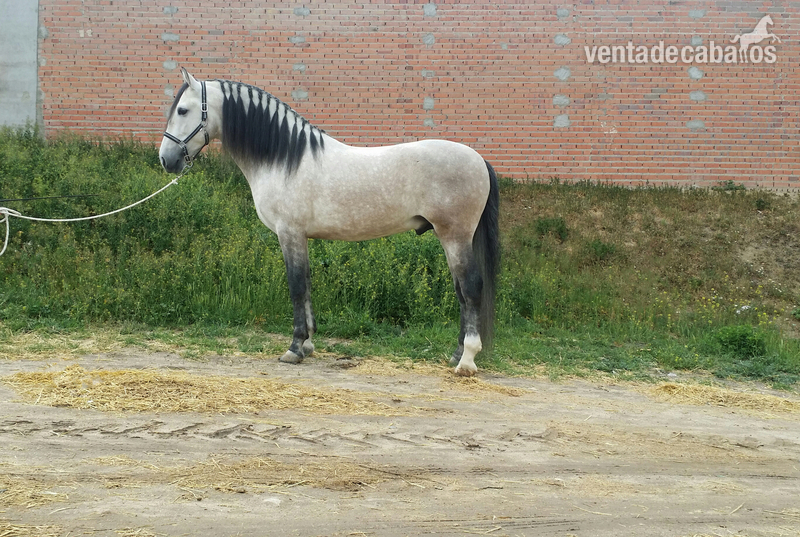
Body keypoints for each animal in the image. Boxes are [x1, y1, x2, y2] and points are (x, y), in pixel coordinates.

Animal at [159, 68, 500, 376]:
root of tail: (479, 159)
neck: (284, 159)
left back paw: (467, 361)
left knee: (470, 287)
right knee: (461, 291)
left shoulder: (290, 233)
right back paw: (456, 355)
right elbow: (307, 284)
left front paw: (295, 348)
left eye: (183, 110)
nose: (166, 159)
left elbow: (296, 286)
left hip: (455, 235)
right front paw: (309, 345)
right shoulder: (302, 237)